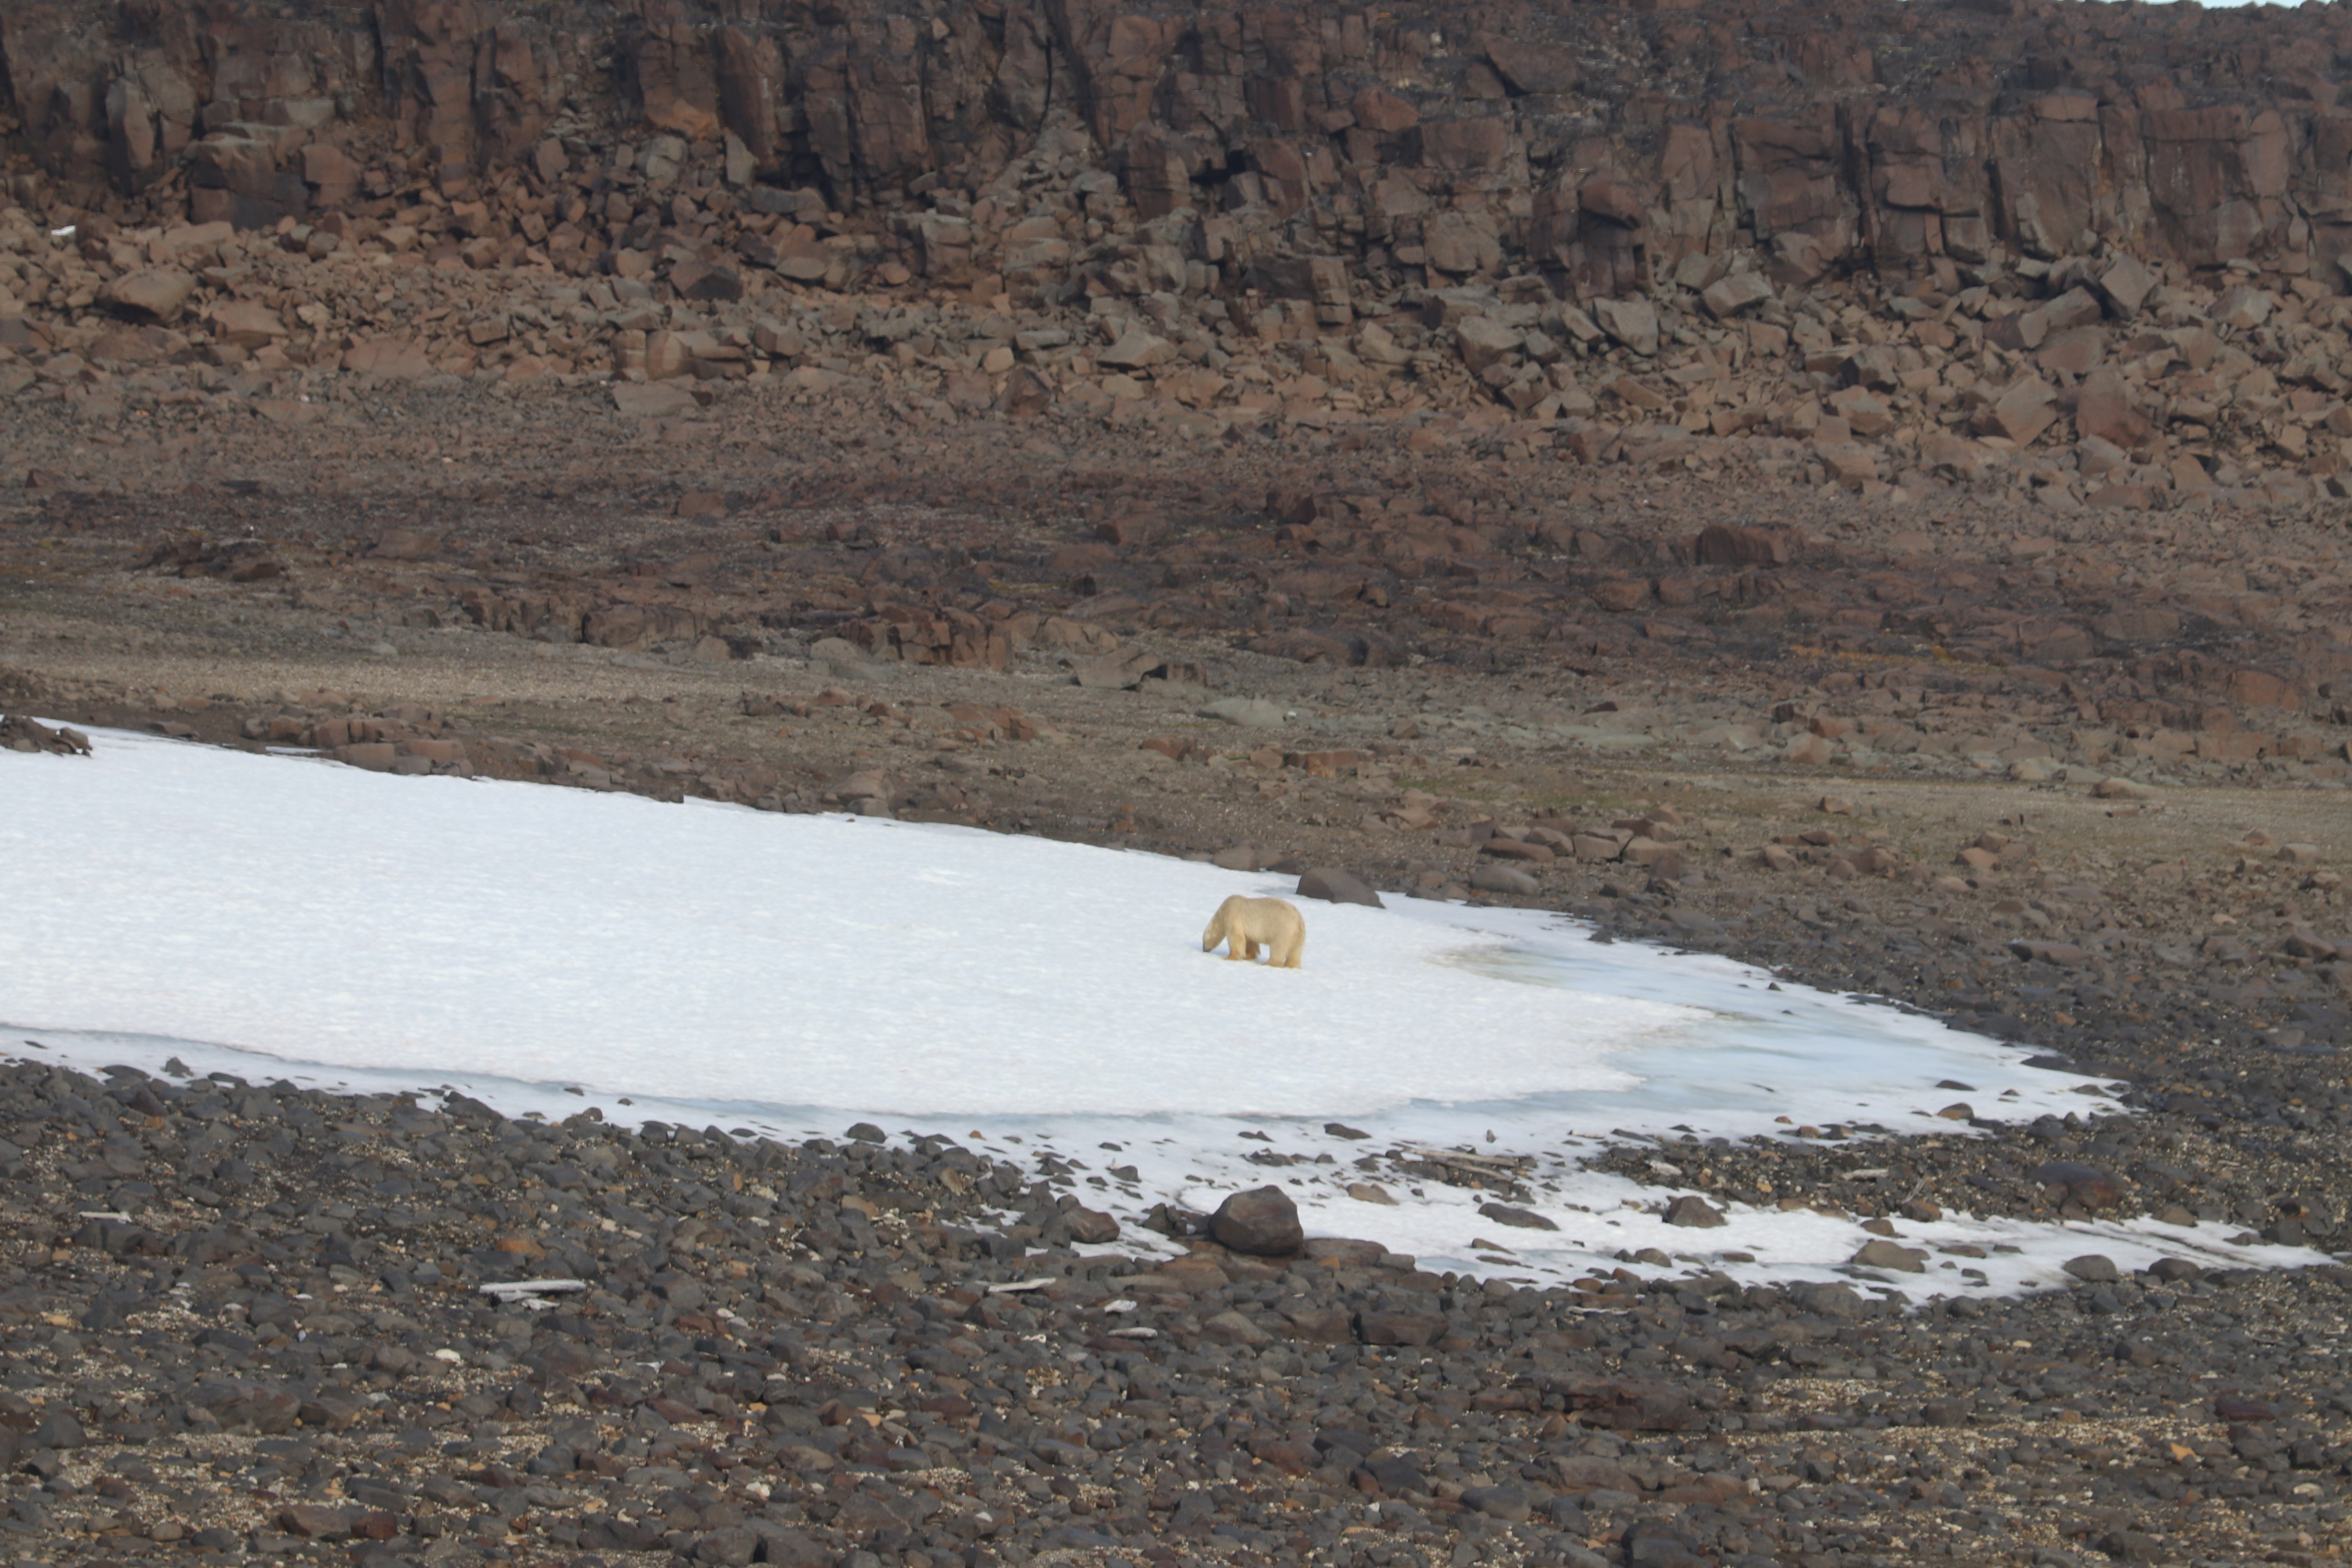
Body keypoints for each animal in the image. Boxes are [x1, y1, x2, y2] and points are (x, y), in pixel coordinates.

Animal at [1201, 894, 1305, 969]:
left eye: (1204, 941)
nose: (1204, 950)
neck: (1221, 913)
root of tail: (1299, 920)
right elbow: (1250, 941)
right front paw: (1248, 956)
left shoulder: (1232, 914)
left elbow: (1235, 936)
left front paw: (1229, 957)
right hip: (1299, 936)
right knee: (1295, 952)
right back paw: (1292, 966)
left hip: (1283, 929)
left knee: (1278, 947)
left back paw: (1267, 963)